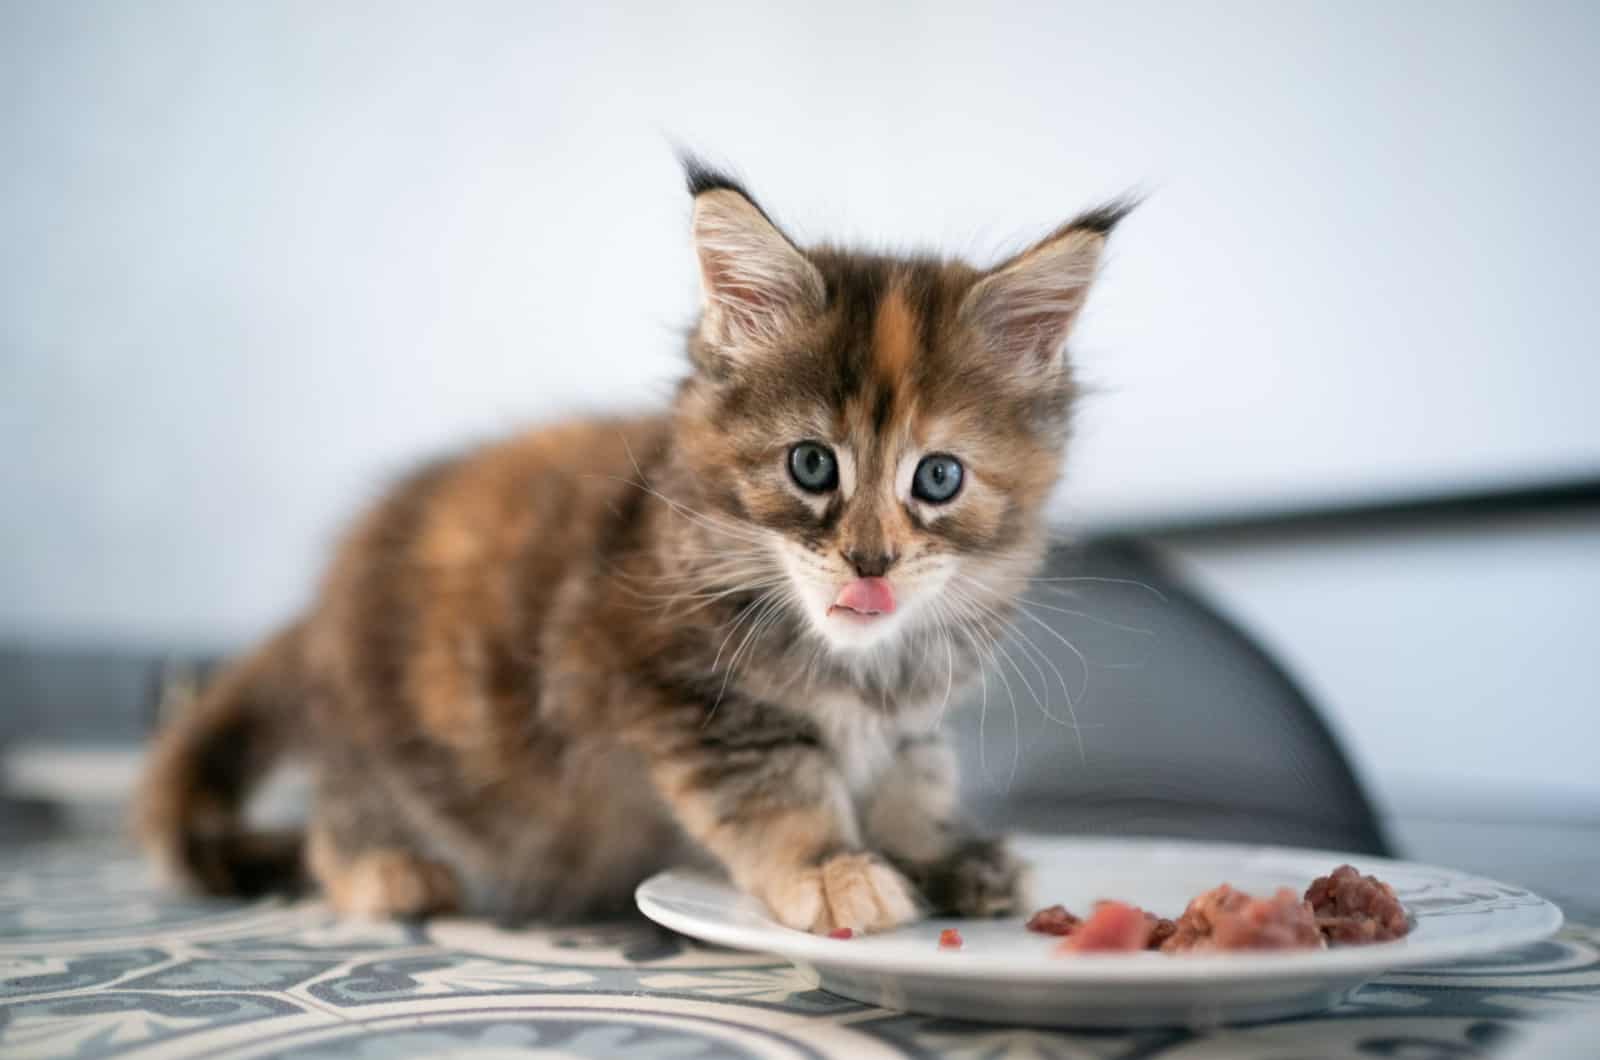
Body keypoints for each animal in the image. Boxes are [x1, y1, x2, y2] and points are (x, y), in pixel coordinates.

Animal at [140, 160, 1126, 941]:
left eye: (938, 479)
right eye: (812, 465)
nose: (871, 561)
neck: (860, 670)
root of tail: (320, 606)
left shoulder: (908, 722)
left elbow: (912, 781)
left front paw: (942, 855)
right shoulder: (683, 696)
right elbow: (779, 791)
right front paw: (830, 869)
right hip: (389, 728)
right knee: (342, 810)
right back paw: (385, 870)